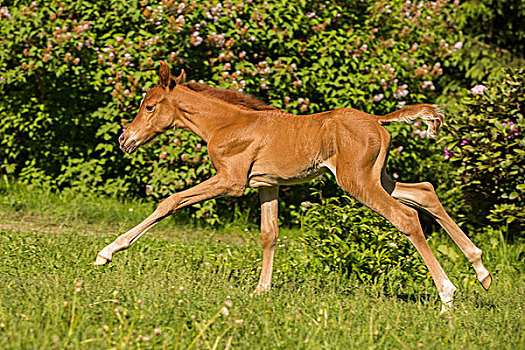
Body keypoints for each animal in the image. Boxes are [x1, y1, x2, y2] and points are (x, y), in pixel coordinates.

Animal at [94, 60, 492, 312]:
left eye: (149, 106)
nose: (124, 139)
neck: (226, 124)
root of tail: (378, 120)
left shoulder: (231, 181)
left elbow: (170, 201)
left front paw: (107, 252)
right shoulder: (266, 185)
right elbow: (269, 234)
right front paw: (261, 290)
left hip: (357, 181)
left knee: (407, 217)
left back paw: (447, 295)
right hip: (379, 178)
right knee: (425, 192)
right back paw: (481, 270)